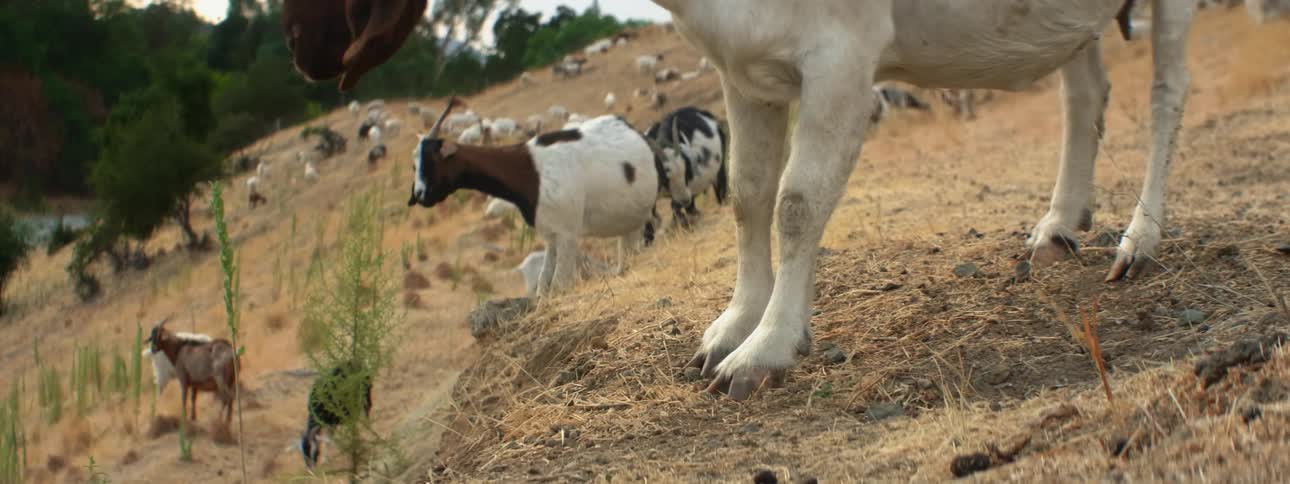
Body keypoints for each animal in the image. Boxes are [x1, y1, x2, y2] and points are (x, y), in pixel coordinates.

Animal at [408, 99, 689, 295]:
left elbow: (560, 284)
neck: (530, 171)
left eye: (431, 161)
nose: (418, 196)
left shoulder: (567, 232)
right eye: (414, 164)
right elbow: (544, 285)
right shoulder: (550, 233)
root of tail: (635, 133)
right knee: (628, 252)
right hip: (630, 217)